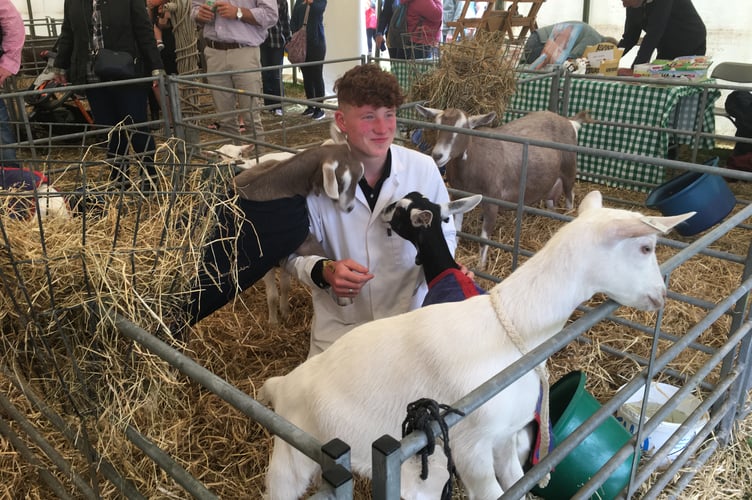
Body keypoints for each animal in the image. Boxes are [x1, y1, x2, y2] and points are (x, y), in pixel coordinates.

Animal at [258, 189, 692, 498]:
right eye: (646, 247)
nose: (661, 295)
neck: (508, 331)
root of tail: (283, 384)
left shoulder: (505, 437)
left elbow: (516, 483)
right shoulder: (471, 450)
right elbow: (494, 493)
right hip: (291, 456)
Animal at [414, 106, 592, 270]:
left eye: (462, 128)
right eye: (436, 125)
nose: (438, 155)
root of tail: (569, 122)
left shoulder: (492, 201)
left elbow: (484, 238)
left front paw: (480, 266)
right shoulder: (458, 195)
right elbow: (457, 228)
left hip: (569, 168)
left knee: (570, 197)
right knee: (551, 201)